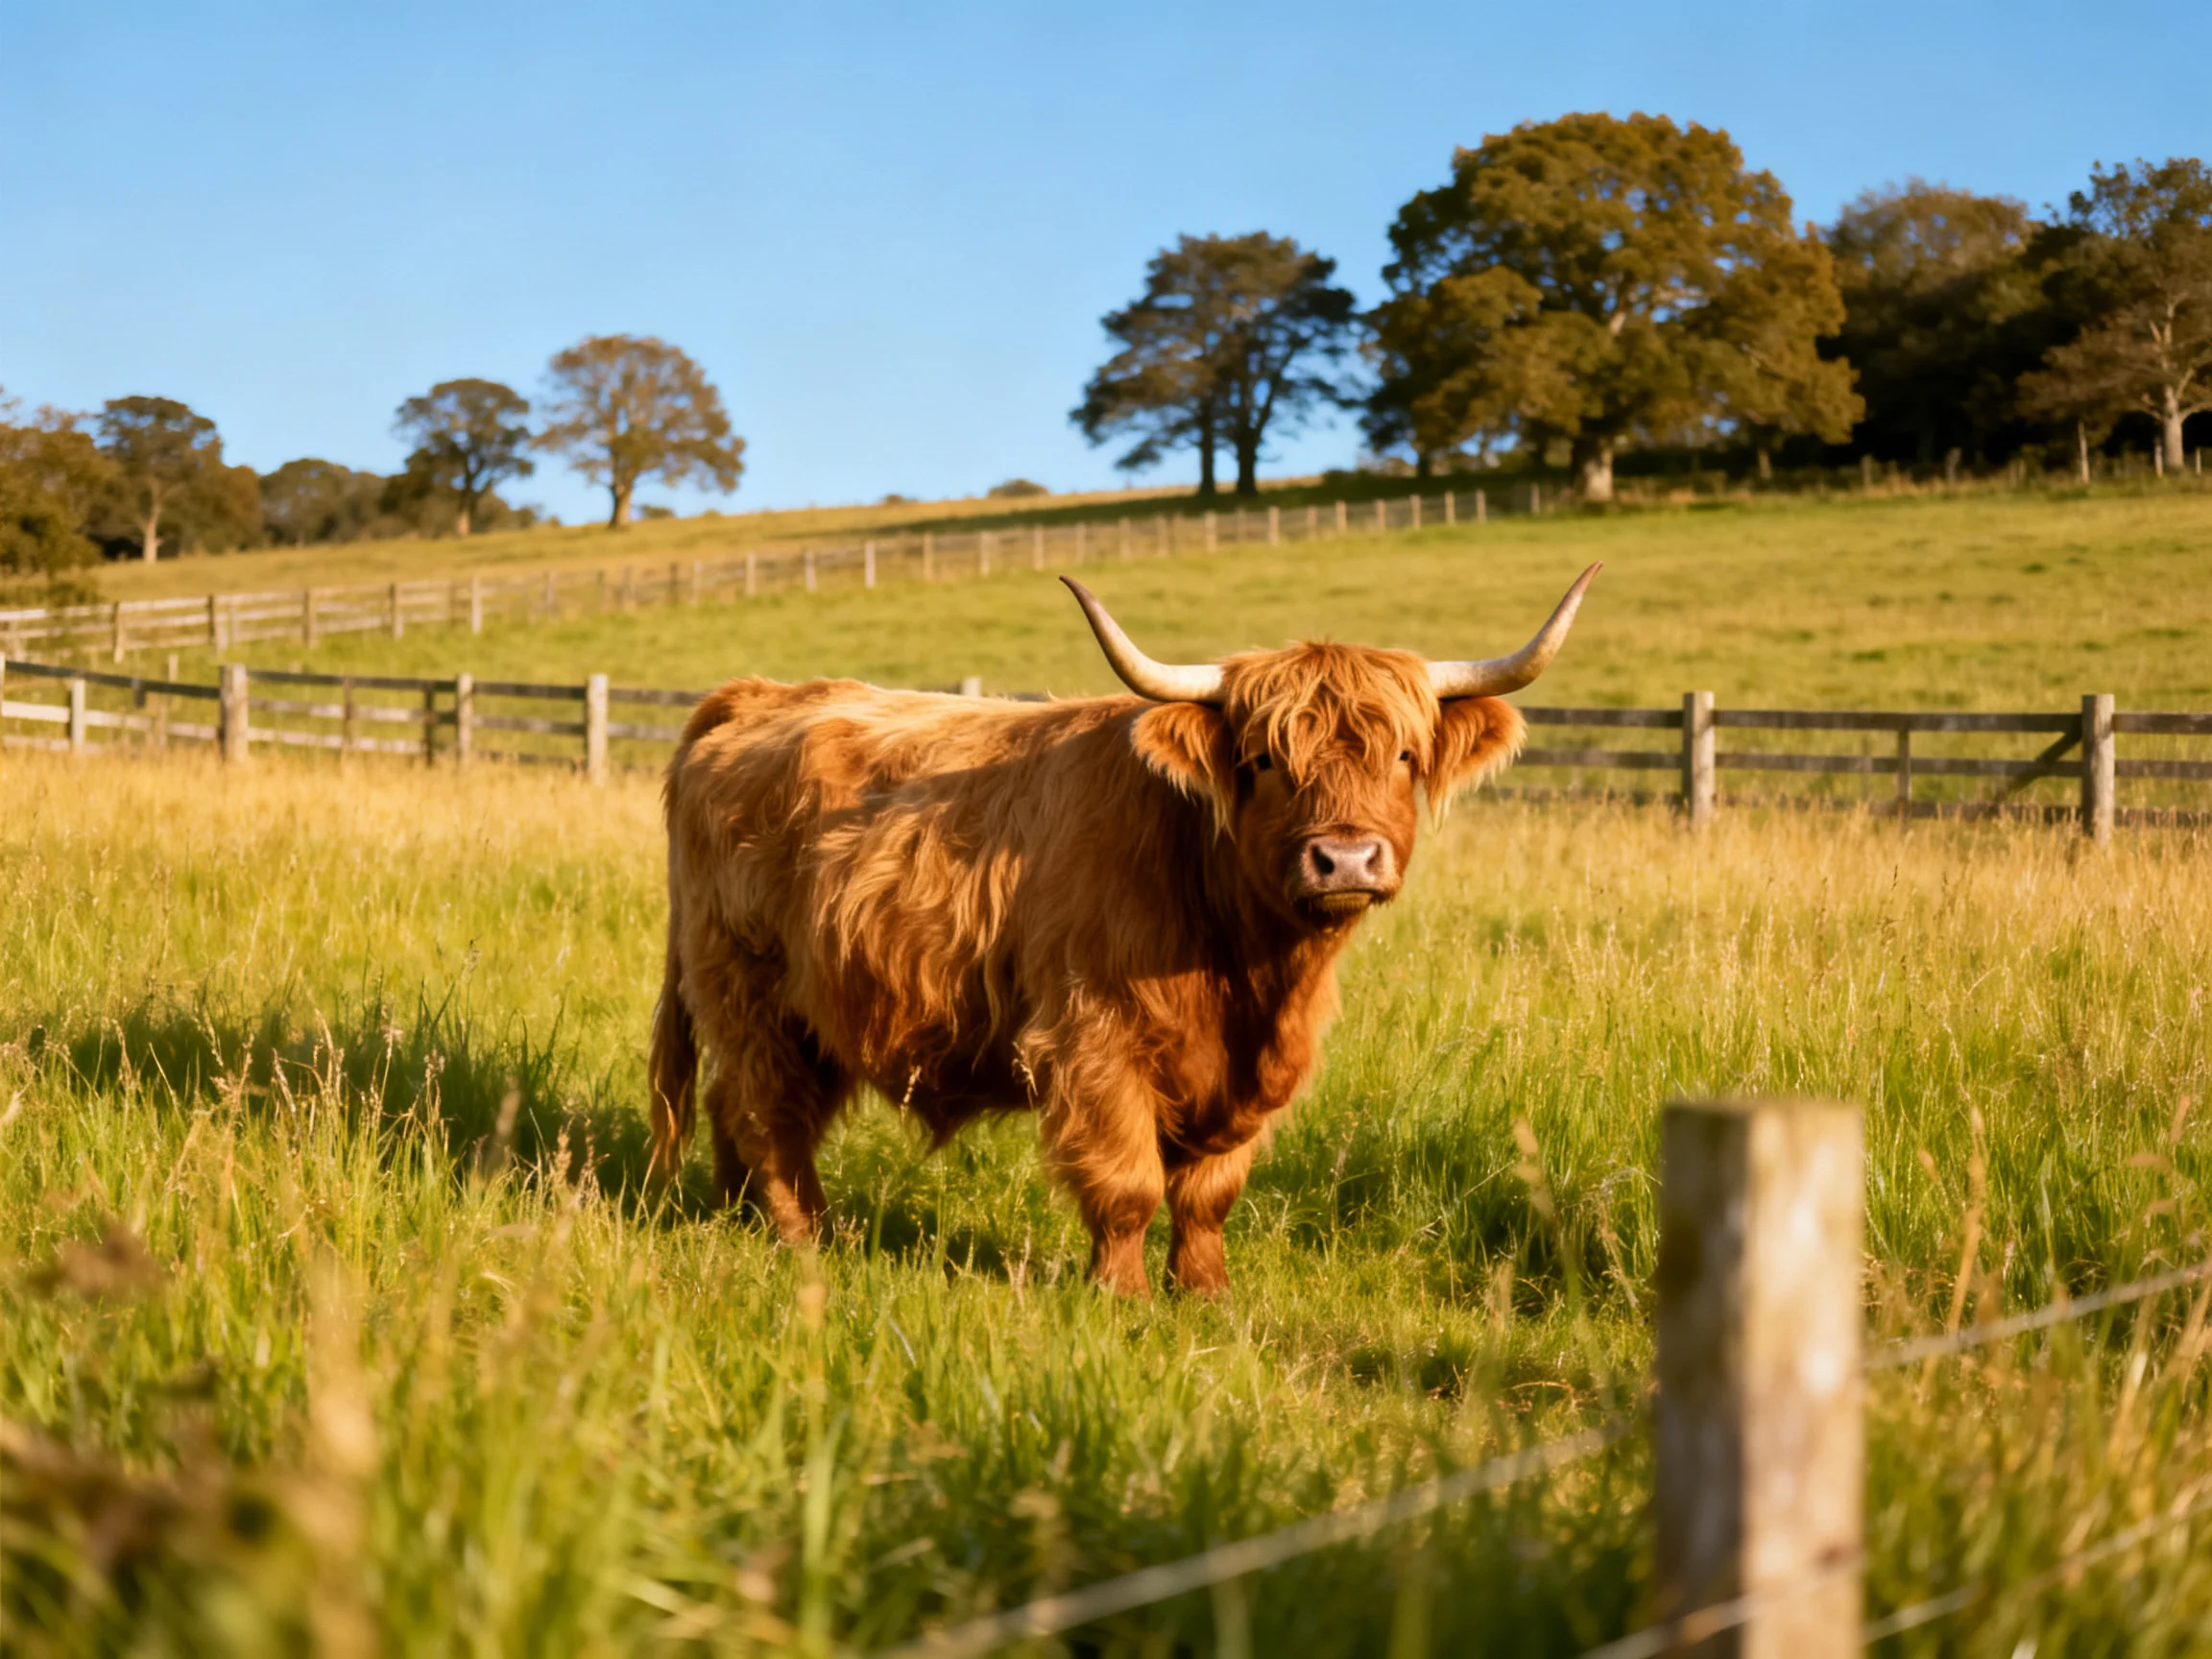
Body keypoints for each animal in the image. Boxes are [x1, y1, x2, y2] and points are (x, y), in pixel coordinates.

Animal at [648, 565, 1598, 1296]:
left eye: (1403, 756)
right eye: (1263, 761)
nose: (1345, 858)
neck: (1245, 965)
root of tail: (760, 696)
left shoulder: (1252, 1071)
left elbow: (1210, 1192)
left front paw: (1206, 1293)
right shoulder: (1094, 1038)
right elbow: (1130, 1182)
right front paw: (1123, 1296)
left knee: (737, 1107)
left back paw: (739, 1217)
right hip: (750, 988)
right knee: (765, 1111)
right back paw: (807, 1237)